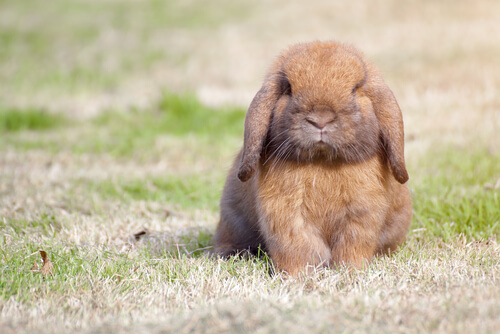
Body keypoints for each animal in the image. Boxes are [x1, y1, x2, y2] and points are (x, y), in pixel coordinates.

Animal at [213, 41, 412, 276]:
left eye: (355, 89)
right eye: (288, 88)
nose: (321, 119)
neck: (323, 162)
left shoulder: (361, 215)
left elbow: (352, 248)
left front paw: (350, 272)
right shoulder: (287, 216)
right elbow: (298, 249)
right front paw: (298, 276)